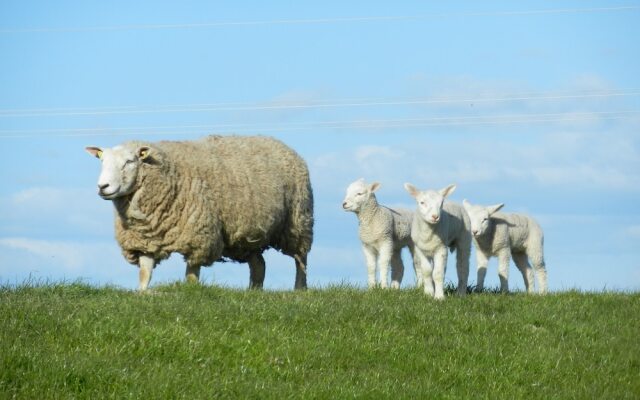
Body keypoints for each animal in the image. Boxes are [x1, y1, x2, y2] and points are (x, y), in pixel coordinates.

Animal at [85, 134, 316, 290]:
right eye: (102, 162)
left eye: (129, 161)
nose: (102, 187)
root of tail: (280, 143)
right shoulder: (144, 239)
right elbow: (145, 272)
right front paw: (142, 293)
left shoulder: (198, 235)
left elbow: (192, 272)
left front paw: (191, 292)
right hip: (246, 236)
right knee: (259, 264)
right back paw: (254, 291)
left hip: (298, 221)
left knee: (301, 258)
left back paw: (300, 288)